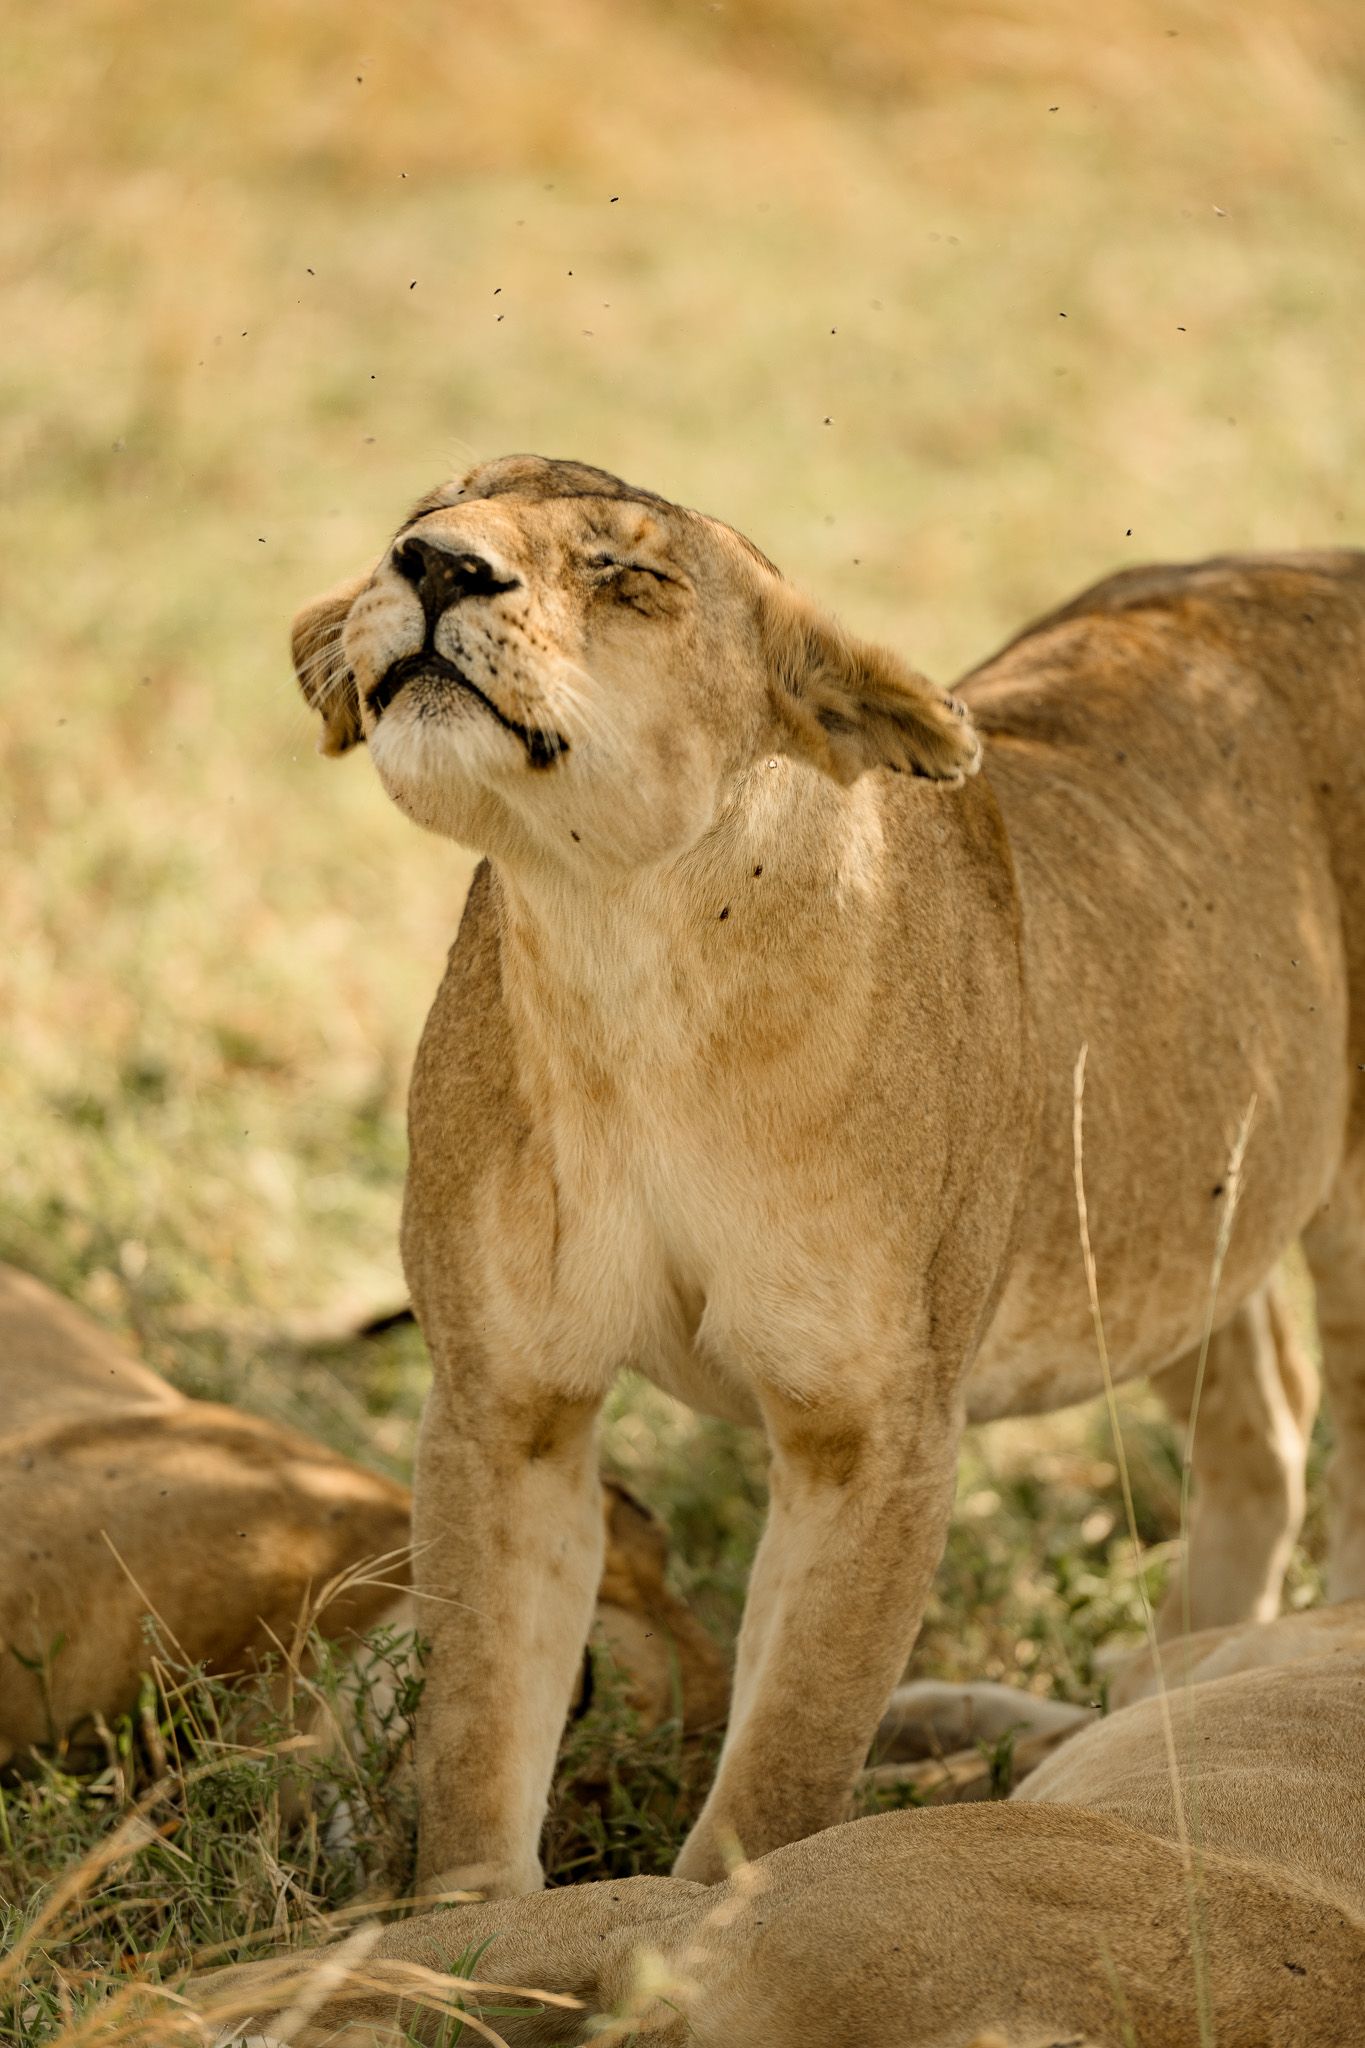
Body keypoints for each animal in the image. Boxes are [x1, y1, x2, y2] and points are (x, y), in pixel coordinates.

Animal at [289, 453, 1365, 1894]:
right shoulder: (507, 1400)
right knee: (1264, 1408)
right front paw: (469, 1917)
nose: (434, 565)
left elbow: (788, 1750)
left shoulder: (869, 1430)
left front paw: (706, 1917)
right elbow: (477, 1714)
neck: (629, 963)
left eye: (628, 572)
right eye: (417, 515)